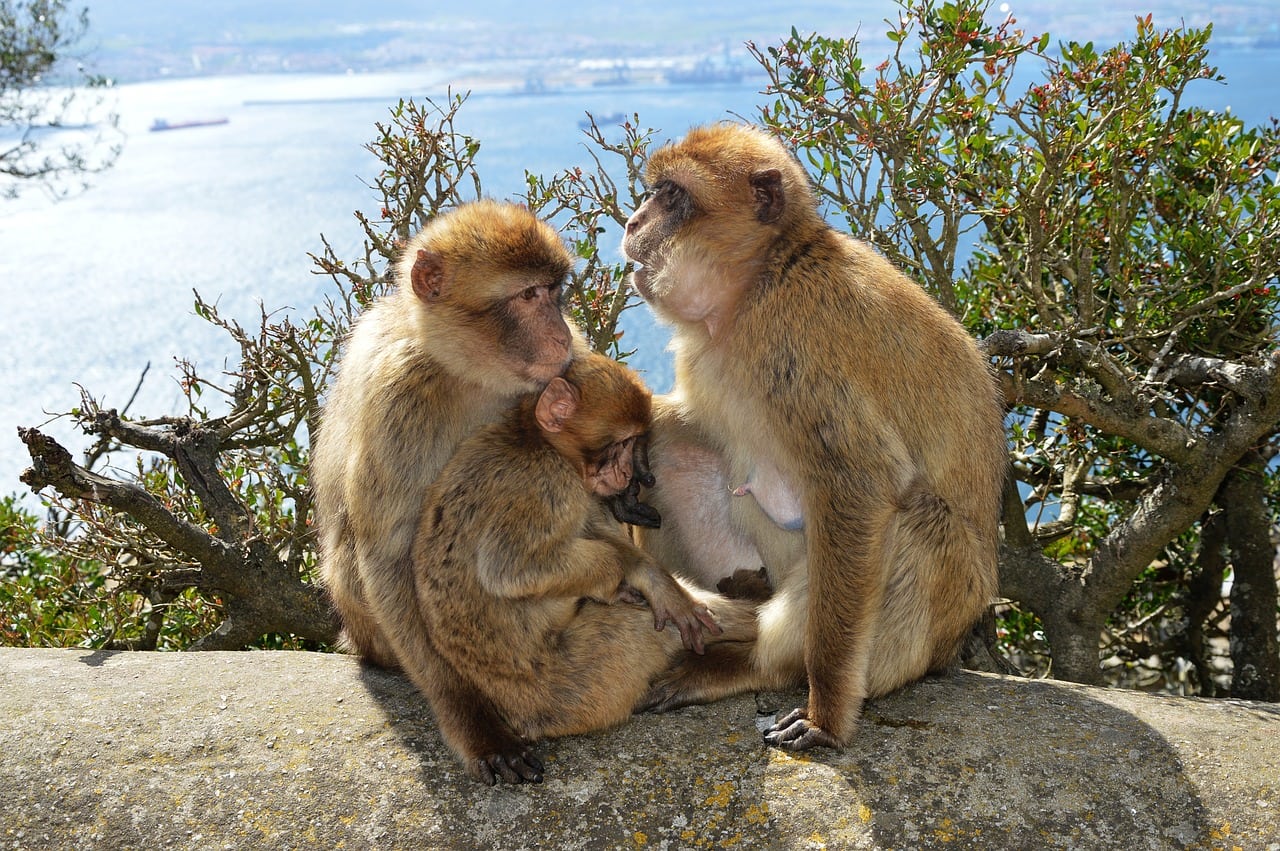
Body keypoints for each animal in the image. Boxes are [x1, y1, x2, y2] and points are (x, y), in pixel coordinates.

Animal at [412, 350, 757, 783]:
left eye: (636, 443)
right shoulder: (550, 483)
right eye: (623, 442)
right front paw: (641, 574)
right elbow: (510, 569)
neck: (531, 437)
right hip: (591, 677)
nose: (628, 473)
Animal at [622, 120, 1008, 752]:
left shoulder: (801, 344)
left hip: (934, 614)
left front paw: (826, 711)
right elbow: (680, 425)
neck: (763, 278)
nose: (633, 223)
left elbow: (861, 486)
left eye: (672, 196)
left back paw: (760, 667)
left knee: (921, 523)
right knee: (673, 445)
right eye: (653, 192)